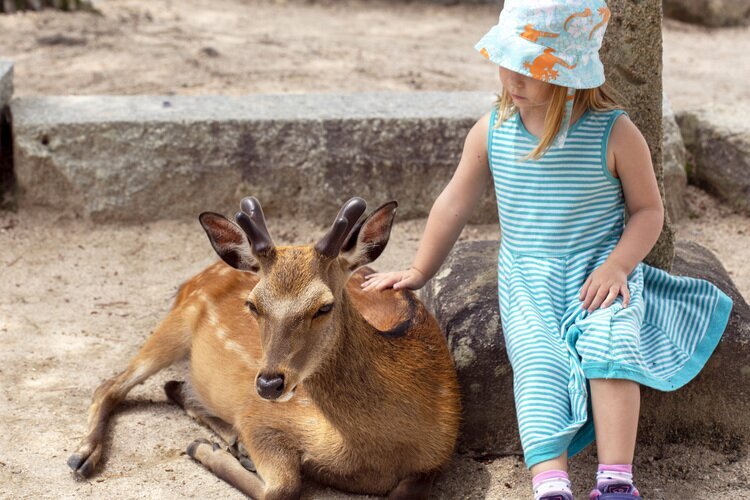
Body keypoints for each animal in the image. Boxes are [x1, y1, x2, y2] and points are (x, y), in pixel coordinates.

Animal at [67, 196, 461, 499]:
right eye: (253, 304)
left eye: (325, 306)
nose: (269, 383)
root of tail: (193, 278)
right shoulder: (260, 415)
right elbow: (282, 487)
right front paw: (201, 448)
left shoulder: (437, 456)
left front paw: (217, 447)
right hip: (175, 323)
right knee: (110, 385)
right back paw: (82, 457)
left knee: (170, 385)